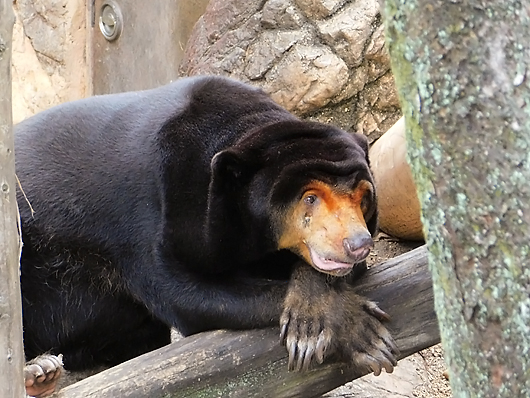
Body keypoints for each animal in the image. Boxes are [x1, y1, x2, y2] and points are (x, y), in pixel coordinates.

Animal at [16, 75, 396, 394]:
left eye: (363, 197)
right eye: (310, 197)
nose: (358, 244)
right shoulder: (153, 211)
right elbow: (187, 293)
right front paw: (358, 332)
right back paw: (37, 372)